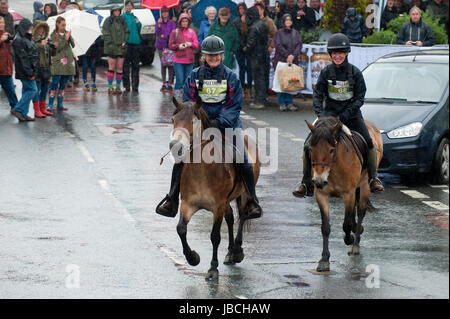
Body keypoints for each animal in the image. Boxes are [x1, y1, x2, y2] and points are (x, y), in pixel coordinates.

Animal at [169, 97, 260, 280]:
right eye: (173, 119)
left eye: (193, 121)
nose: (175, 146)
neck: (202, 170)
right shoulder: (188, 204)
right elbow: (181, 229)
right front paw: (193, 258)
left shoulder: (217, 206)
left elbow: (215, 236)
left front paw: (212, 268)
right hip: (227, 201)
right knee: (231, 218)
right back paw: (230, 252)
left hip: (245, 194)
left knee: (244, 215)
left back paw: (237, 250)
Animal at [306, 117, 384, 272]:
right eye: (311, 149)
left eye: (331, 150)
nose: (318, 180)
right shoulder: (322, 195)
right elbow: (325, 227)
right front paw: (324, 260)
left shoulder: (349, 194)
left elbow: (346, 224)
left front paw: (350, 239)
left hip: (364, 187)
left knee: (360, 213)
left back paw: (356, 244)